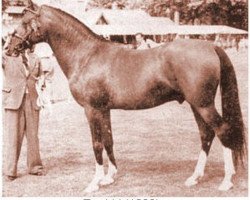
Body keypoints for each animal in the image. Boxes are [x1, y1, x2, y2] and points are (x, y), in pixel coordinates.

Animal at [5, 0, 246, 193]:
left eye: (25, 22)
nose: (9, 48)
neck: (86, 56)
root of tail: (212, 46)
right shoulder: (104, 109)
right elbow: (109, 140)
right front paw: (109, 177)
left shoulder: (92, 109)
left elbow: (97, 144)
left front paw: (94, 183)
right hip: (196, 105)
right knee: (206, 134)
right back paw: (195, 178)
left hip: (203, 104)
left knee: (222, 130)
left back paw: (226, 181)